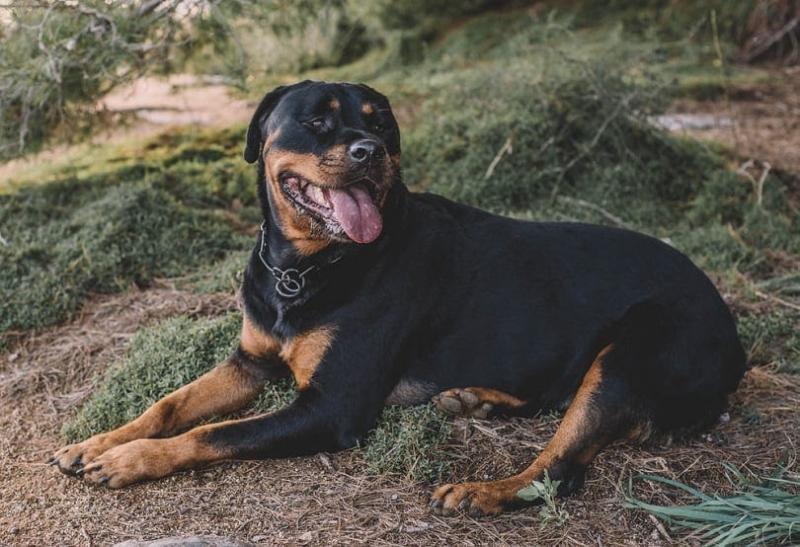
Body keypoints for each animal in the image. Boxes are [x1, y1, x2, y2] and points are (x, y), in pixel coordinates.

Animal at [53, 81, 748, 520]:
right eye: (317, 119)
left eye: (380, 121)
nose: (370, 151)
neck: (305, 268)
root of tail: (735, 338)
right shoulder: (250, 361)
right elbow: (172, 405)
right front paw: (99, 441)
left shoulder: (330, 408)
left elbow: (214, 432)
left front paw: (130, 459)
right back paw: (476, 399)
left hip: (632, 349)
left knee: (562, 465)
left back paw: (482, 491)